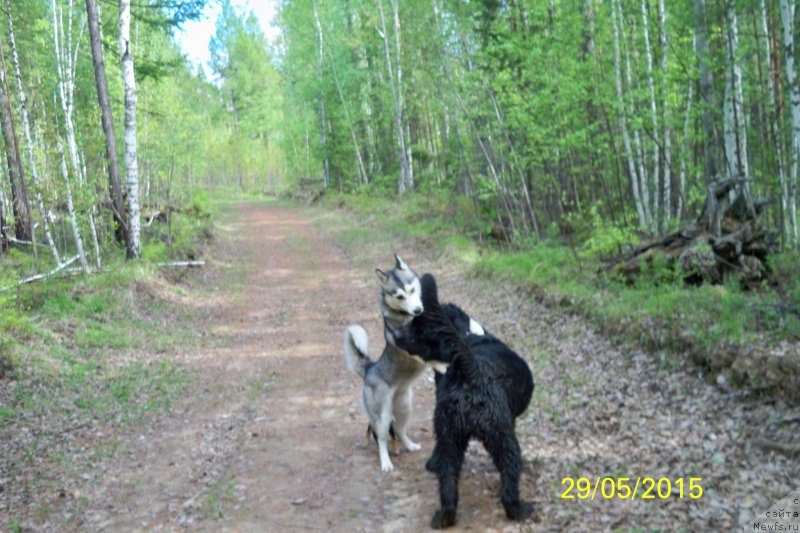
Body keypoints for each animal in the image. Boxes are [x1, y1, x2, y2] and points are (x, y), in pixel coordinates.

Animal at [346, 256, 428, 472]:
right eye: (399, 296)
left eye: (412, 290)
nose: (418, 310)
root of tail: (369, 369)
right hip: (382, 417)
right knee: (382, 439)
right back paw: (386, 463)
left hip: (404, 408)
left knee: (399, 430)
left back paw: (409, 445)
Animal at [396, 274, 536, 528]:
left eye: (419, 327)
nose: (394, 333)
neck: (469, 336)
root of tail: (471, 372)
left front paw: (432, 463)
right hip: (503, 440)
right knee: (509, 482)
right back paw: (520, 510)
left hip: (450, 437)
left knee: (448, 483)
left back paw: (445, 516)